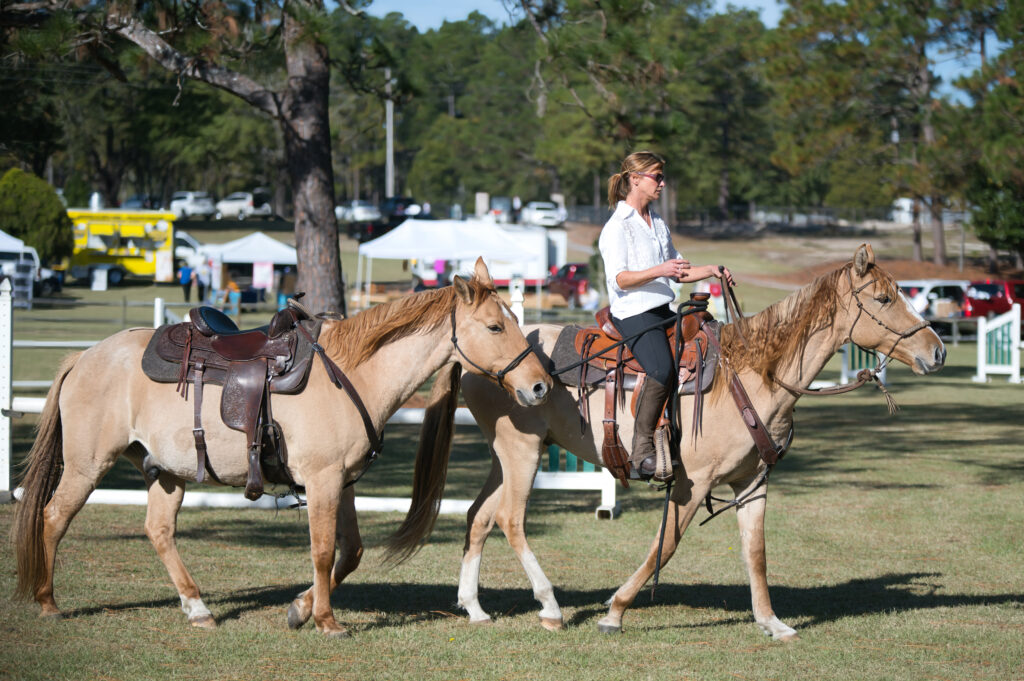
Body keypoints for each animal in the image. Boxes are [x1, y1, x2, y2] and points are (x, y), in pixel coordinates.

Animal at [12, 258, 552, 634]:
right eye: (495, 327)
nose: (541, 385)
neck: (350, 372)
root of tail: (85, 356)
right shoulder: (321, 481)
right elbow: (322, 551)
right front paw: (327, 622)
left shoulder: (341, 483)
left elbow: (350, 552)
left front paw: (300, 609)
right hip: (87, 465)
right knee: (53, 517)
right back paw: (47, 602)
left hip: (167, 472)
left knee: (159, 531)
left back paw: (198, 608)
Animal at [454, 244, 942, 639]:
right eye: (883, 298)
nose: (937, 351)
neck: (752, 373)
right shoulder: (694, 484)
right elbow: (665, 546)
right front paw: (615, 611)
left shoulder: (753, 482)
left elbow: (756, 553)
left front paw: (772, 622)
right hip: (522, 452)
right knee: (510, 519)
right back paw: (550, 609)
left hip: (505, 457)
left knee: (479, 517)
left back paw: (474, 607)